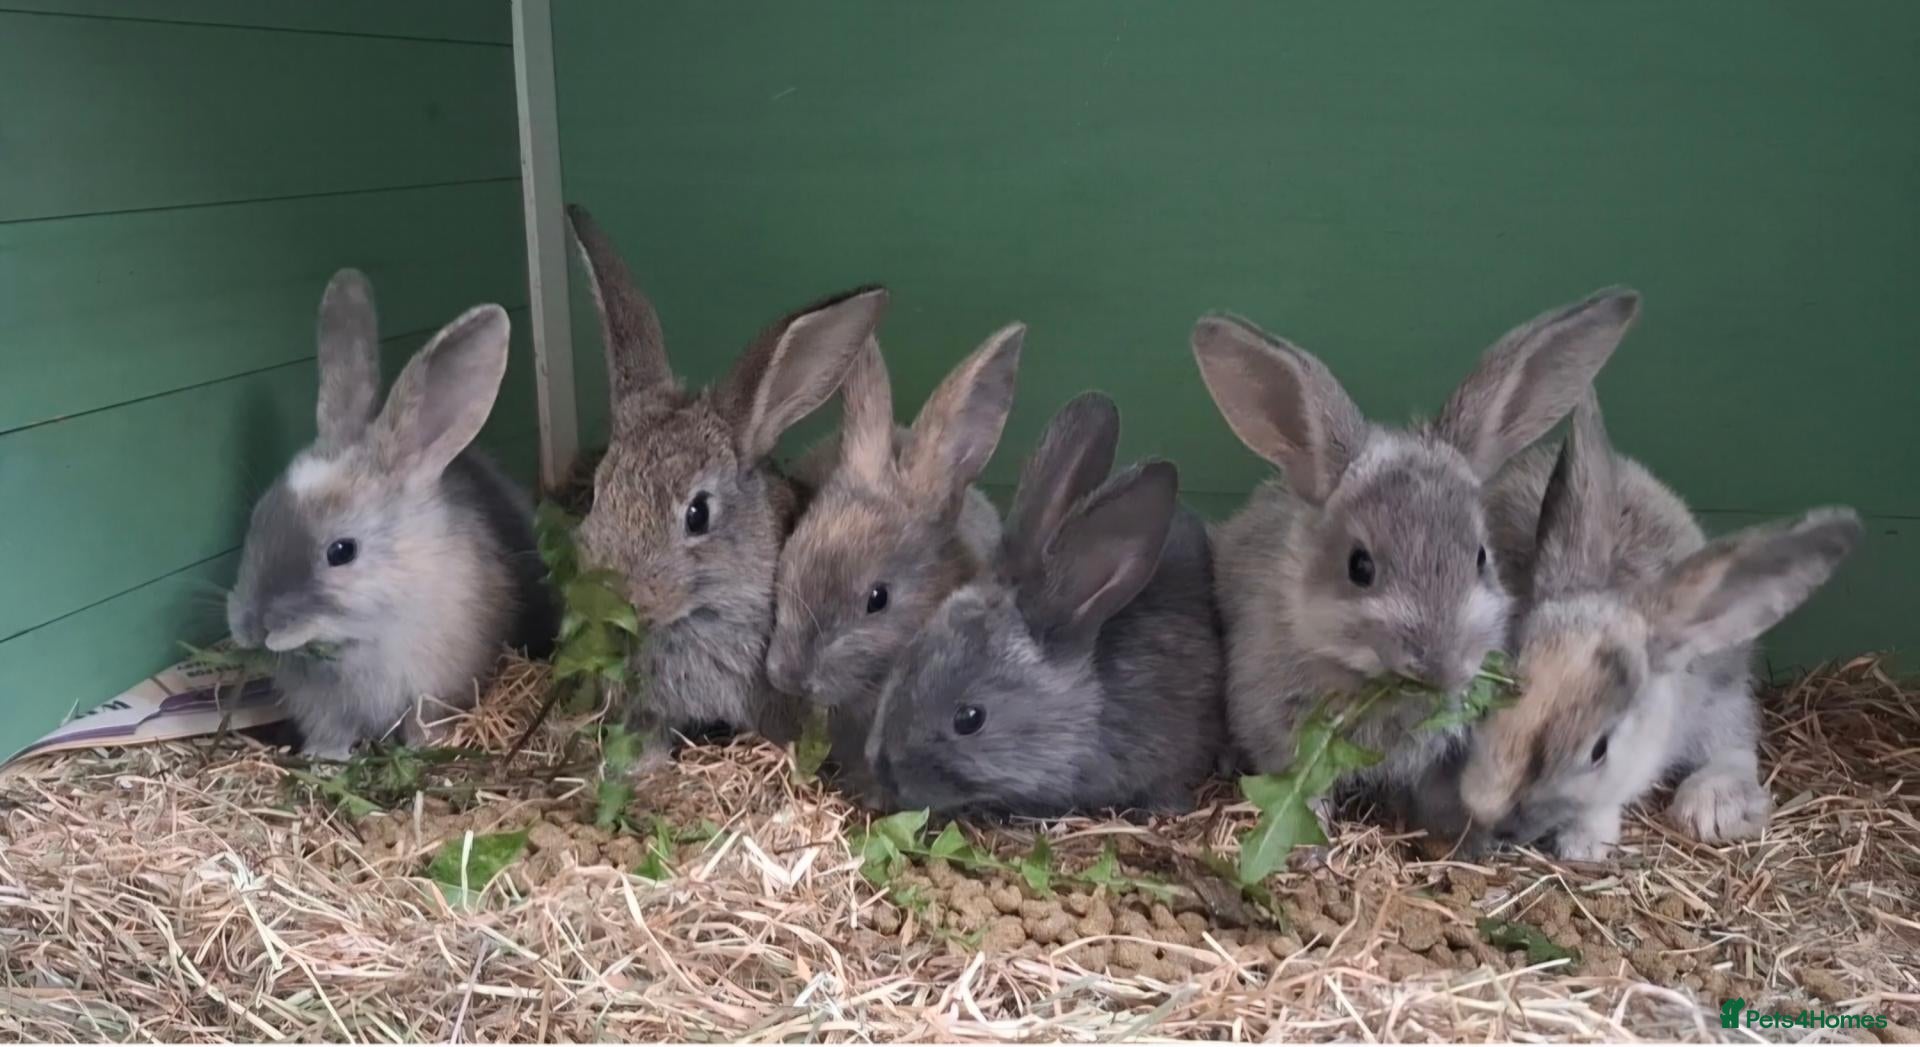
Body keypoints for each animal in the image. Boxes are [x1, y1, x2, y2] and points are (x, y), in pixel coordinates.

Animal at [226, 270, 558, 760]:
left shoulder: (432, 689)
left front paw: (422, 750)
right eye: (258, 517)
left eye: (341, 551)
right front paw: (322, 760)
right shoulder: (324, 710)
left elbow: (424, 722)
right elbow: (331, 734)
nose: (250, 626)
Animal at [1189, 289, 1640, 821]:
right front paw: (1309, 832)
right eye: (1359, 567)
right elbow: (1301, 786)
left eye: (1481, 557)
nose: (1443, 667)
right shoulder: (1280, 725)